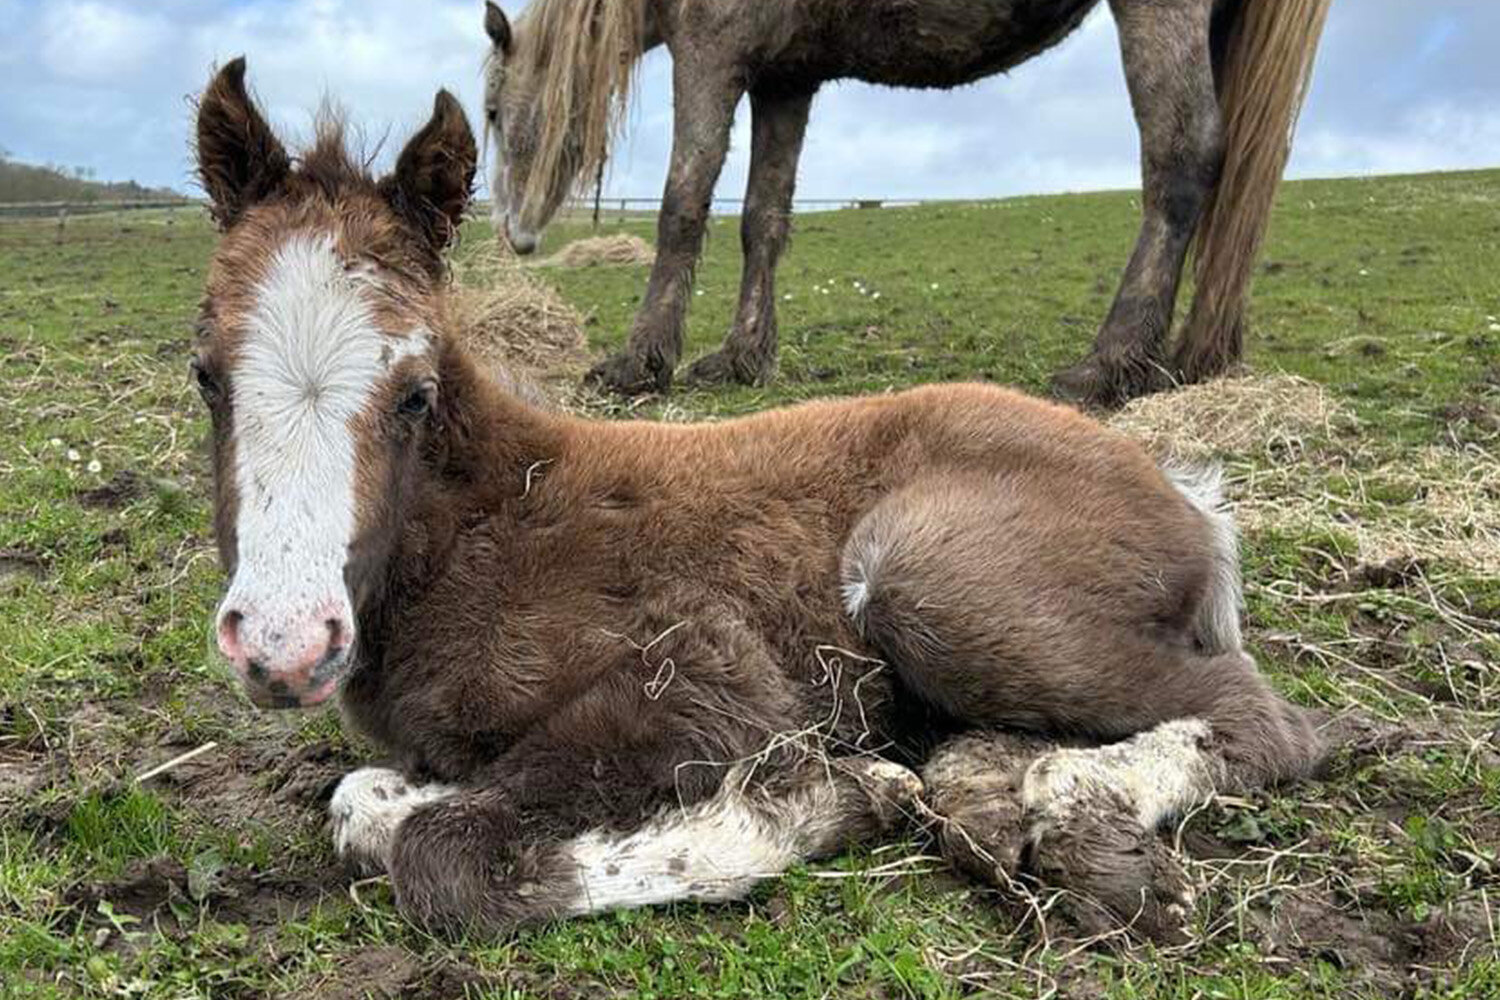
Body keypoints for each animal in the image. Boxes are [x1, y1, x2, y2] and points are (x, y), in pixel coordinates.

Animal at [187, 64, 1326, 947]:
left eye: (415, 393)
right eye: (205, 374)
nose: (284, 646)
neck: (483, 522)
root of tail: (1186, 492)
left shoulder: (704, 673)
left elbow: (447, 852)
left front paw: (822, 800)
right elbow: (363, 801)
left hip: (925, 579)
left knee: (1258, 718)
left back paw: (1070, 809)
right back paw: (988, 790)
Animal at [480, 0, 1326, 407]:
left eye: (491, 112)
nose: (514, 236)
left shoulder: (712, 56)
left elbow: (684, 203)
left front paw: (639, 362)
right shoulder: (786, 78)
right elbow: (762, 220)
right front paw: (742, 357)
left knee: (1183, 159)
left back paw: (1109, 364)